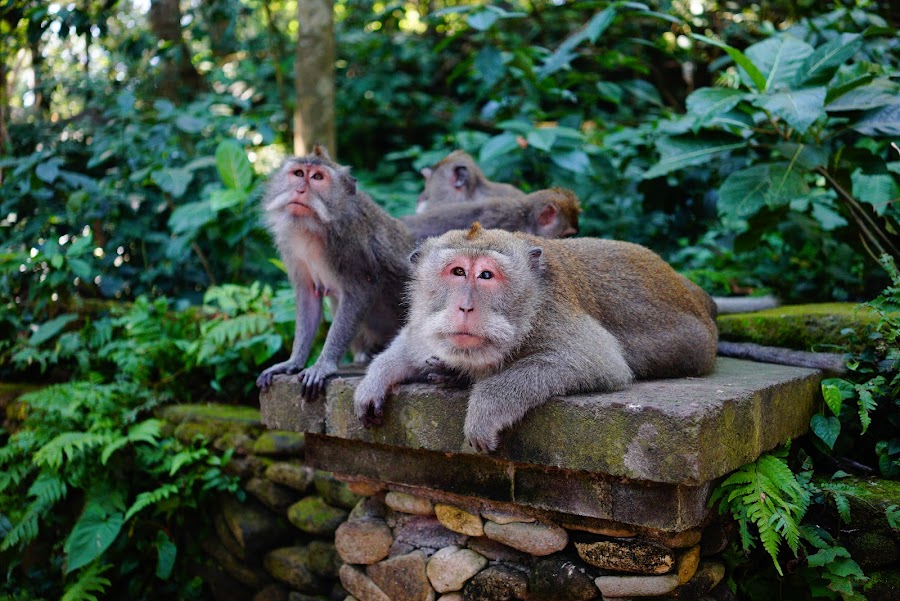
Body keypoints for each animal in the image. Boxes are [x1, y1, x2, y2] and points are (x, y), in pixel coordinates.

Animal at [256, 144, 414, 398]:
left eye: (317, 178)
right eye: (299, 174)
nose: (300, 190)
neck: (312, 228)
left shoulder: (350, 243)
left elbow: (361, 291)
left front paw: (322, 365)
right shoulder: (290, 245)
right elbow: (309, 296)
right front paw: (293, 361)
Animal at [352, 224, 716, 450]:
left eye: (486, 275)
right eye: (457, 272)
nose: (465, 306)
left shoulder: (553, 315)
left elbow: (594, 362)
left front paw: (485, 408)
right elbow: (411, 343)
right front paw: (377, 377)